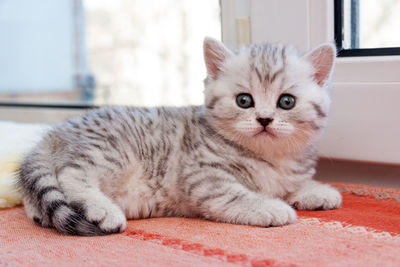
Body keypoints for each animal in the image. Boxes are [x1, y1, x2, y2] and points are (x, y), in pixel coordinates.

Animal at [18, 38, 340, 237]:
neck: (271, 157)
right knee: (71, 174)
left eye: (286, 102)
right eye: (244, 100)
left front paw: (315, 190)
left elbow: (290, 184)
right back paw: (103, 209)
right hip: (108, 151)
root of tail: (54, 134)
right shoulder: (202, 175)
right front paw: (270, 207)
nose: (264, 119)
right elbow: (236, 194)